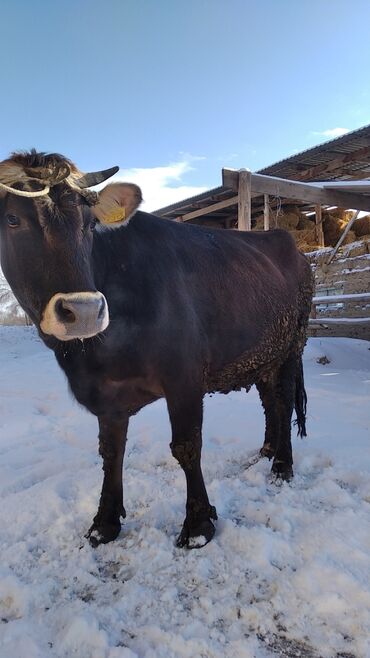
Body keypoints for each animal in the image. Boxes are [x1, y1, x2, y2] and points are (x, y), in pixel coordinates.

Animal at [0, 151, 314, 544]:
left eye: (90, 224)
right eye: (12, 219)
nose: (84, 310)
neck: (92, 358)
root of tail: (285, 240)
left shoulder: (184, 377)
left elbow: (186, 446)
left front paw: (198, 526)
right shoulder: (107, 393)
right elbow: (111, 451)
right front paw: (104, 523)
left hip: (292, 345)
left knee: (284, 400)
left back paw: (282, 466)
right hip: (261, 351)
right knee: (270, 399)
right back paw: (267, 450)